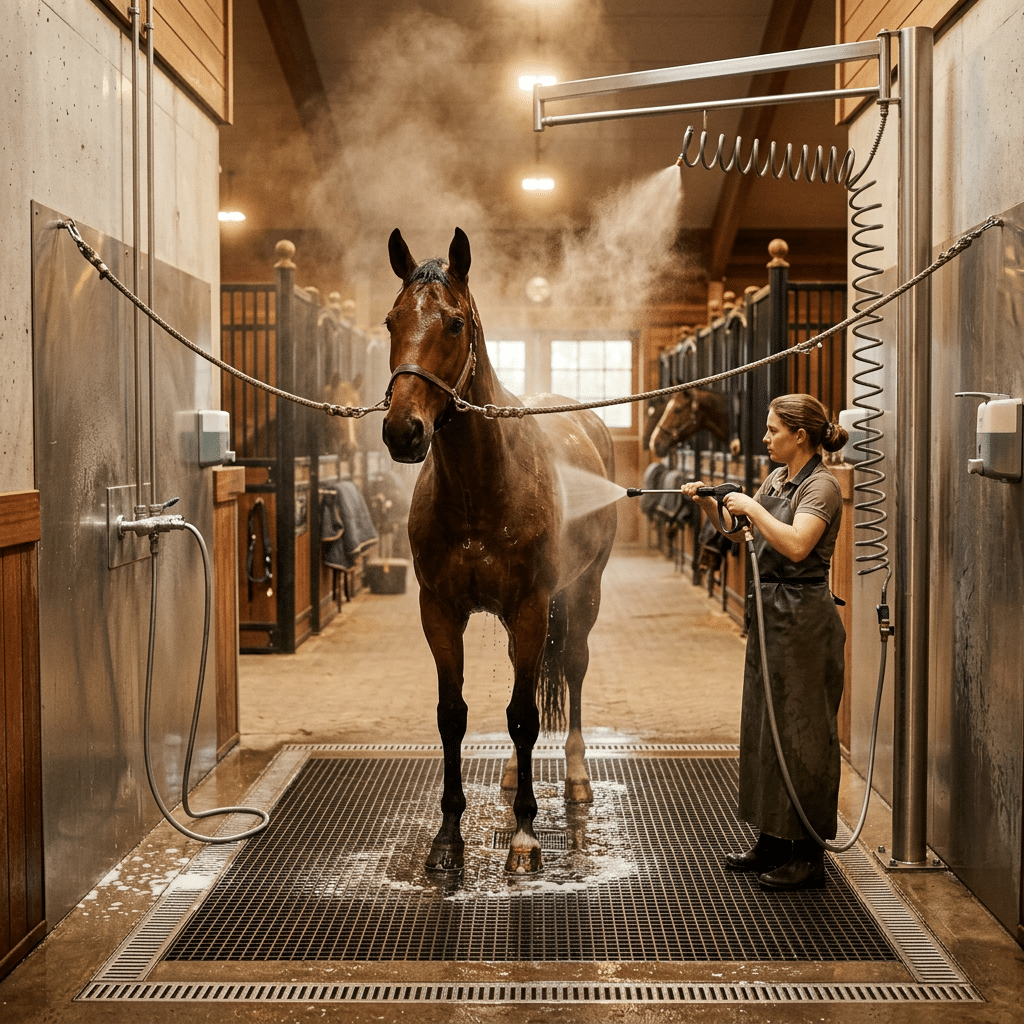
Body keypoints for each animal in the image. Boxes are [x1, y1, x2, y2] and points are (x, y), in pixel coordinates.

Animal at [381, 227, 617, 876]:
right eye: (391, 321)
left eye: (455, 323)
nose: (403, 431)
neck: (478, 489)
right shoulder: (440, 612)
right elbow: (454, 716)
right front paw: (448, 839)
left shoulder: (533, 607)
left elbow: (524, 715)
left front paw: (525, 838)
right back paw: (513, 774)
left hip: (581, 594)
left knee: (573, 670)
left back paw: (577, 775)